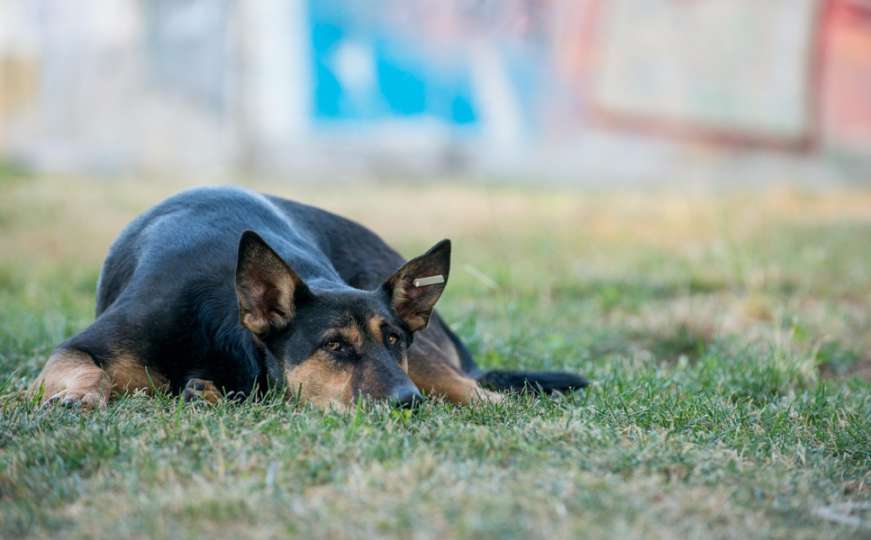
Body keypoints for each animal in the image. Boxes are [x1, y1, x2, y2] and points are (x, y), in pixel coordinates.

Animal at [29, 187, 584, 410]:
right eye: (335, 346)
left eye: (394, 340)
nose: (408, 403)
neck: (226, 326)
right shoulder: (84, 346)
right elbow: (82, 368)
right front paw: (78, 395)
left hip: (433, 368)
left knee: (484, 396)